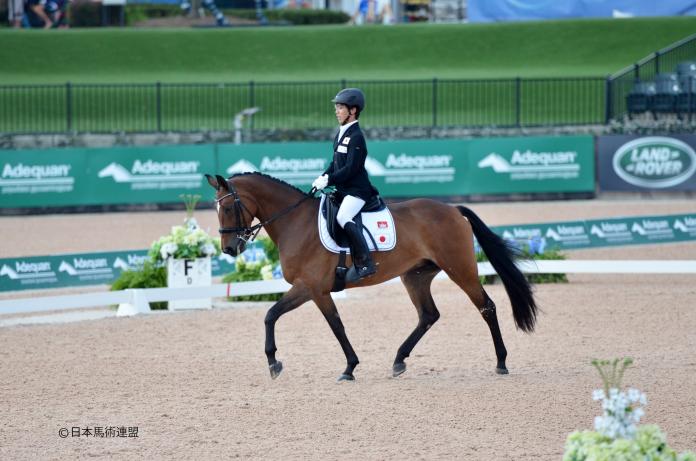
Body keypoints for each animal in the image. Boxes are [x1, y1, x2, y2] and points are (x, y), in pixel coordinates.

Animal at [204, 172, 536, 380]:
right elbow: (272, 315)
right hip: (415, 276)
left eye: (229, 206)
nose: (229, 248)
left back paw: (501, 362)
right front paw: (274, 362)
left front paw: (348, 368)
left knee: (487, 307)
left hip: (460, 269)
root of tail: (453, 210)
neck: (295, 222)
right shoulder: (309, 289)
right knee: (428, 315)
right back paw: (399, 360)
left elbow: (332, 325)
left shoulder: (312, 288)